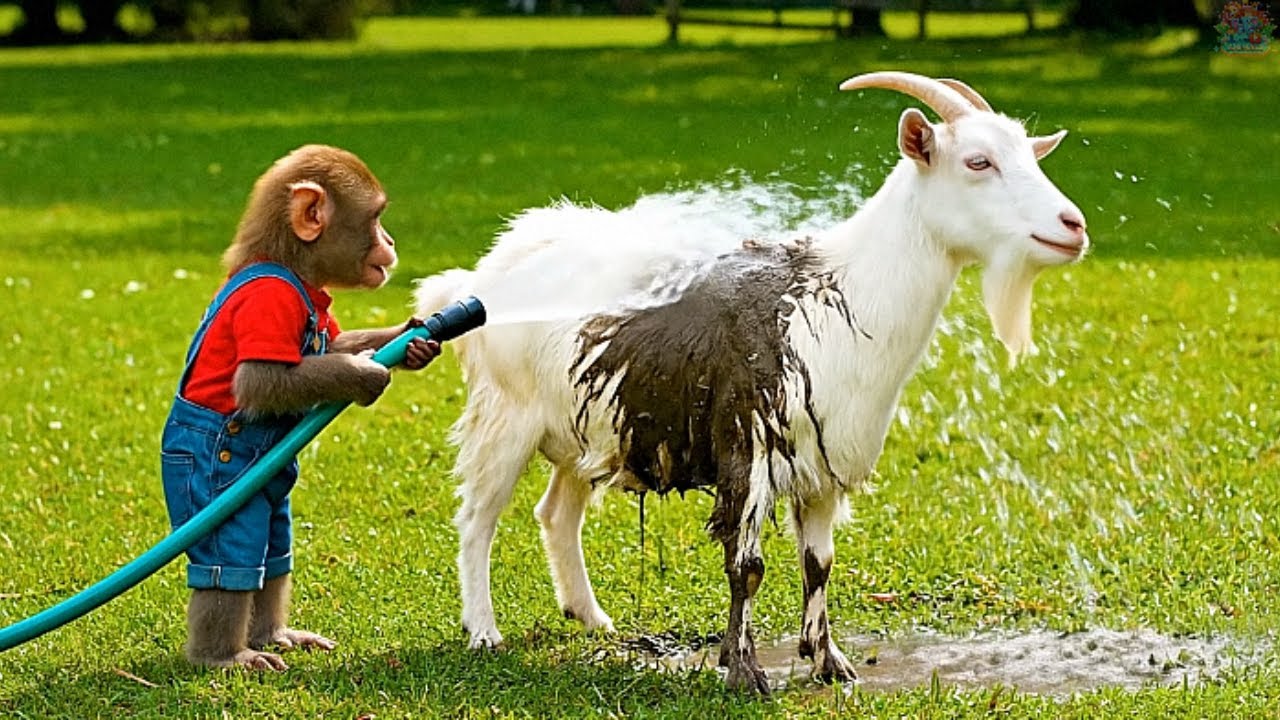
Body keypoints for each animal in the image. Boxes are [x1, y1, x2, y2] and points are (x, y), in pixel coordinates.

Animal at [159, 144, 439, 671]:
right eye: (376, 218)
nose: (391, 240)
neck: (292, 269)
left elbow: (338, 338)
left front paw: (411, 339)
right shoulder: (269, 303)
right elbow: (260, 381)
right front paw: (366, 374)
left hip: (269, 492)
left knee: (275, 551)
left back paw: (275, 634)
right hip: (219, 489)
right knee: (232, 563)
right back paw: (224, 657)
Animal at [413, 72, 1089, 693]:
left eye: (1031, 155)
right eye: (978, 161)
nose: (1074, 225)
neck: (837, 294)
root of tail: (479, 276)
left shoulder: (822, 465)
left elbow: (819, 563)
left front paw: (829, 662)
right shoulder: (747, 448)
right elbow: (748, 566)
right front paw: (743, 671)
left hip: (588, 428)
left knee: (557, 514)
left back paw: (593, 619)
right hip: (505, 416)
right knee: (477, 518)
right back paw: (484, 632)